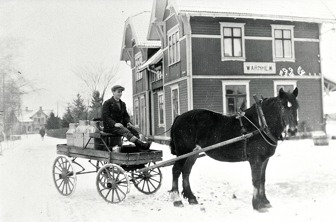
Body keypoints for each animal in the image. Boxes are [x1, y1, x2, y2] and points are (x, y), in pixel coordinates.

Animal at [169, 87, 298, 212]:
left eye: (296, 106)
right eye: (283, 107)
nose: (292, 130)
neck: (261, 124)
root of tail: (179, 117)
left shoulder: (264, 160)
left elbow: (262, 179)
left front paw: (265, 201)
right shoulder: (256, 160)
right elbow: (256, 180)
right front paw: (257, 205)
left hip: (193, 153)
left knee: (186, 171)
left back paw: (191, 197)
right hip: (183, 151)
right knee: (176, 171)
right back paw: (177, 200)